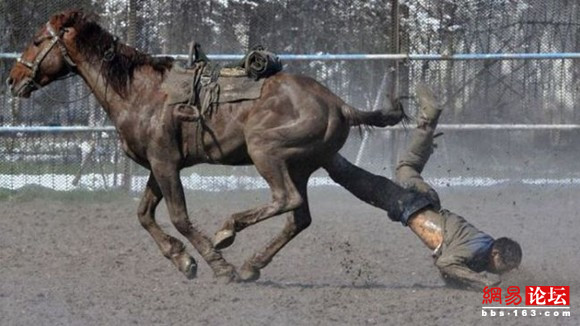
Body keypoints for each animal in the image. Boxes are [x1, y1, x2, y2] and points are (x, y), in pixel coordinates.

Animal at [6, 8, 406, 282]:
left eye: (39, 41)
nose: (13, 79)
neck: (140, 92)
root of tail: (338, 103)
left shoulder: (165, 163)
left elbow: (179, 217)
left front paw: (215, 264)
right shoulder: (158, 166)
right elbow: (144, 214)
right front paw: (182, 259)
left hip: (267, 152)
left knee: (285, 199)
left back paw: (228, 234)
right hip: (304, 166)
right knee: (299, 217)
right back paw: (252, 265)